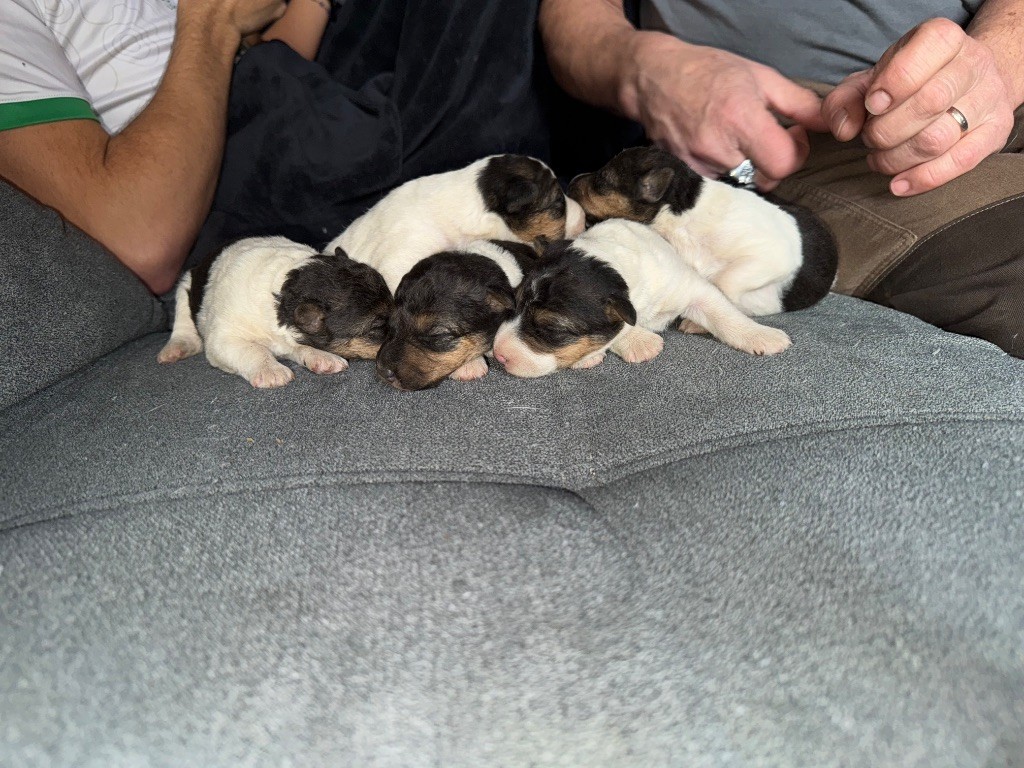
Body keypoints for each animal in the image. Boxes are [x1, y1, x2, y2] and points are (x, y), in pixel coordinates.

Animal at [158, 236, 391, 391]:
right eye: (377, 326)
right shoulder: (223, 338)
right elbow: (254, 350)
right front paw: (272, 372)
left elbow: (300, 346)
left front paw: (324, 358)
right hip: (185, 285)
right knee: (183, 323)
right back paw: (176, 348)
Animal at [493, 219, 790, 378]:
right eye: (514, 304)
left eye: (552, 328)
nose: (497, 355)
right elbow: (622, 328)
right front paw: (639, 342)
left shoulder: (690, 286)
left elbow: (724, 314)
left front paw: (763, 336)